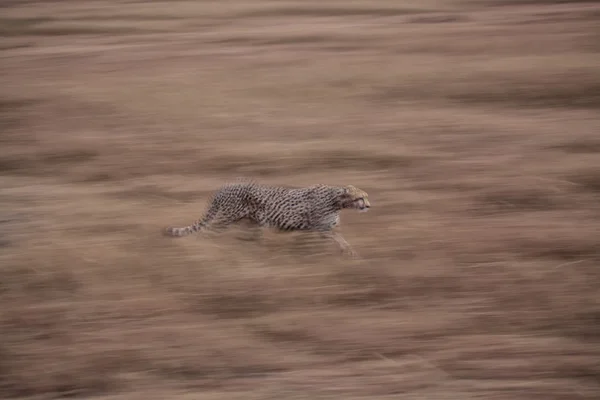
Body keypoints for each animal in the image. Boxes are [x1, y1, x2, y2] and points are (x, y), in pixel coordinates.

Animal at [164, 180, 370, 256]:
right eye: (360, 198)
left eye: (366, 196)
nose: (368, 206)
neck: (337, 200)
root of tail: (225, 186)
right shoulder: (322, 229)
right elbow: (339, 240)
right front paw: (349, 252)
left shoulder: (320, 229)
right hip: (225, 220)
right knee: (206, 234)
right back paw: (203, 250)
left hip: (250, 224)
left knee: (246, 240)